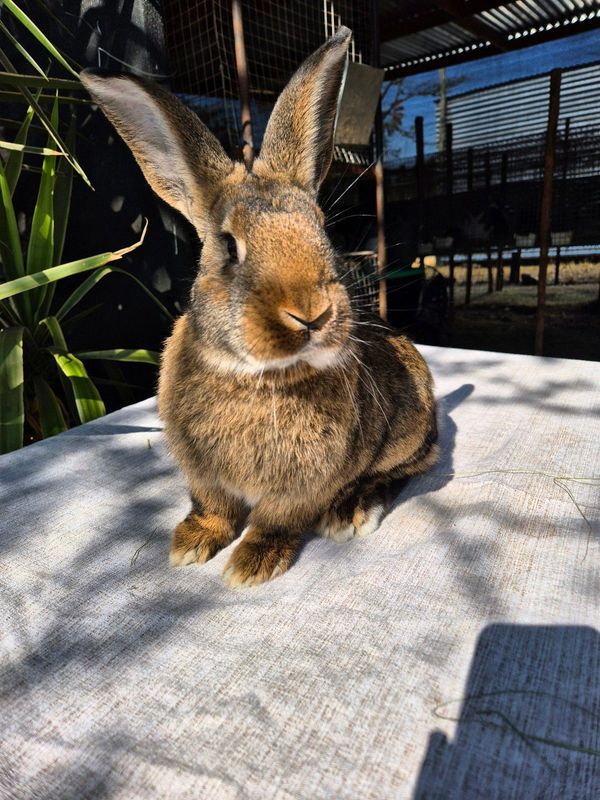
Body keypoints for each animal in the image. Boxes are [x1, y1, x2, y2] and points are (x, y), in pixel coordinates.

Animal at [79, 28, 438, 588]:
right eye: (229, 247)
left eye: (322, 233)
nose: (311, 313)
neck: (261, 377)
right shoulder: (203, 477)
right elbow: (214, 508)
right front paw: (190, 545)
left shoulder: (303, 486)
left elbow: (275, 520)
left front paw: (251, 565)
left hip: (407, 430)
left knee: (405, 469)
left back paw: (352, 511)